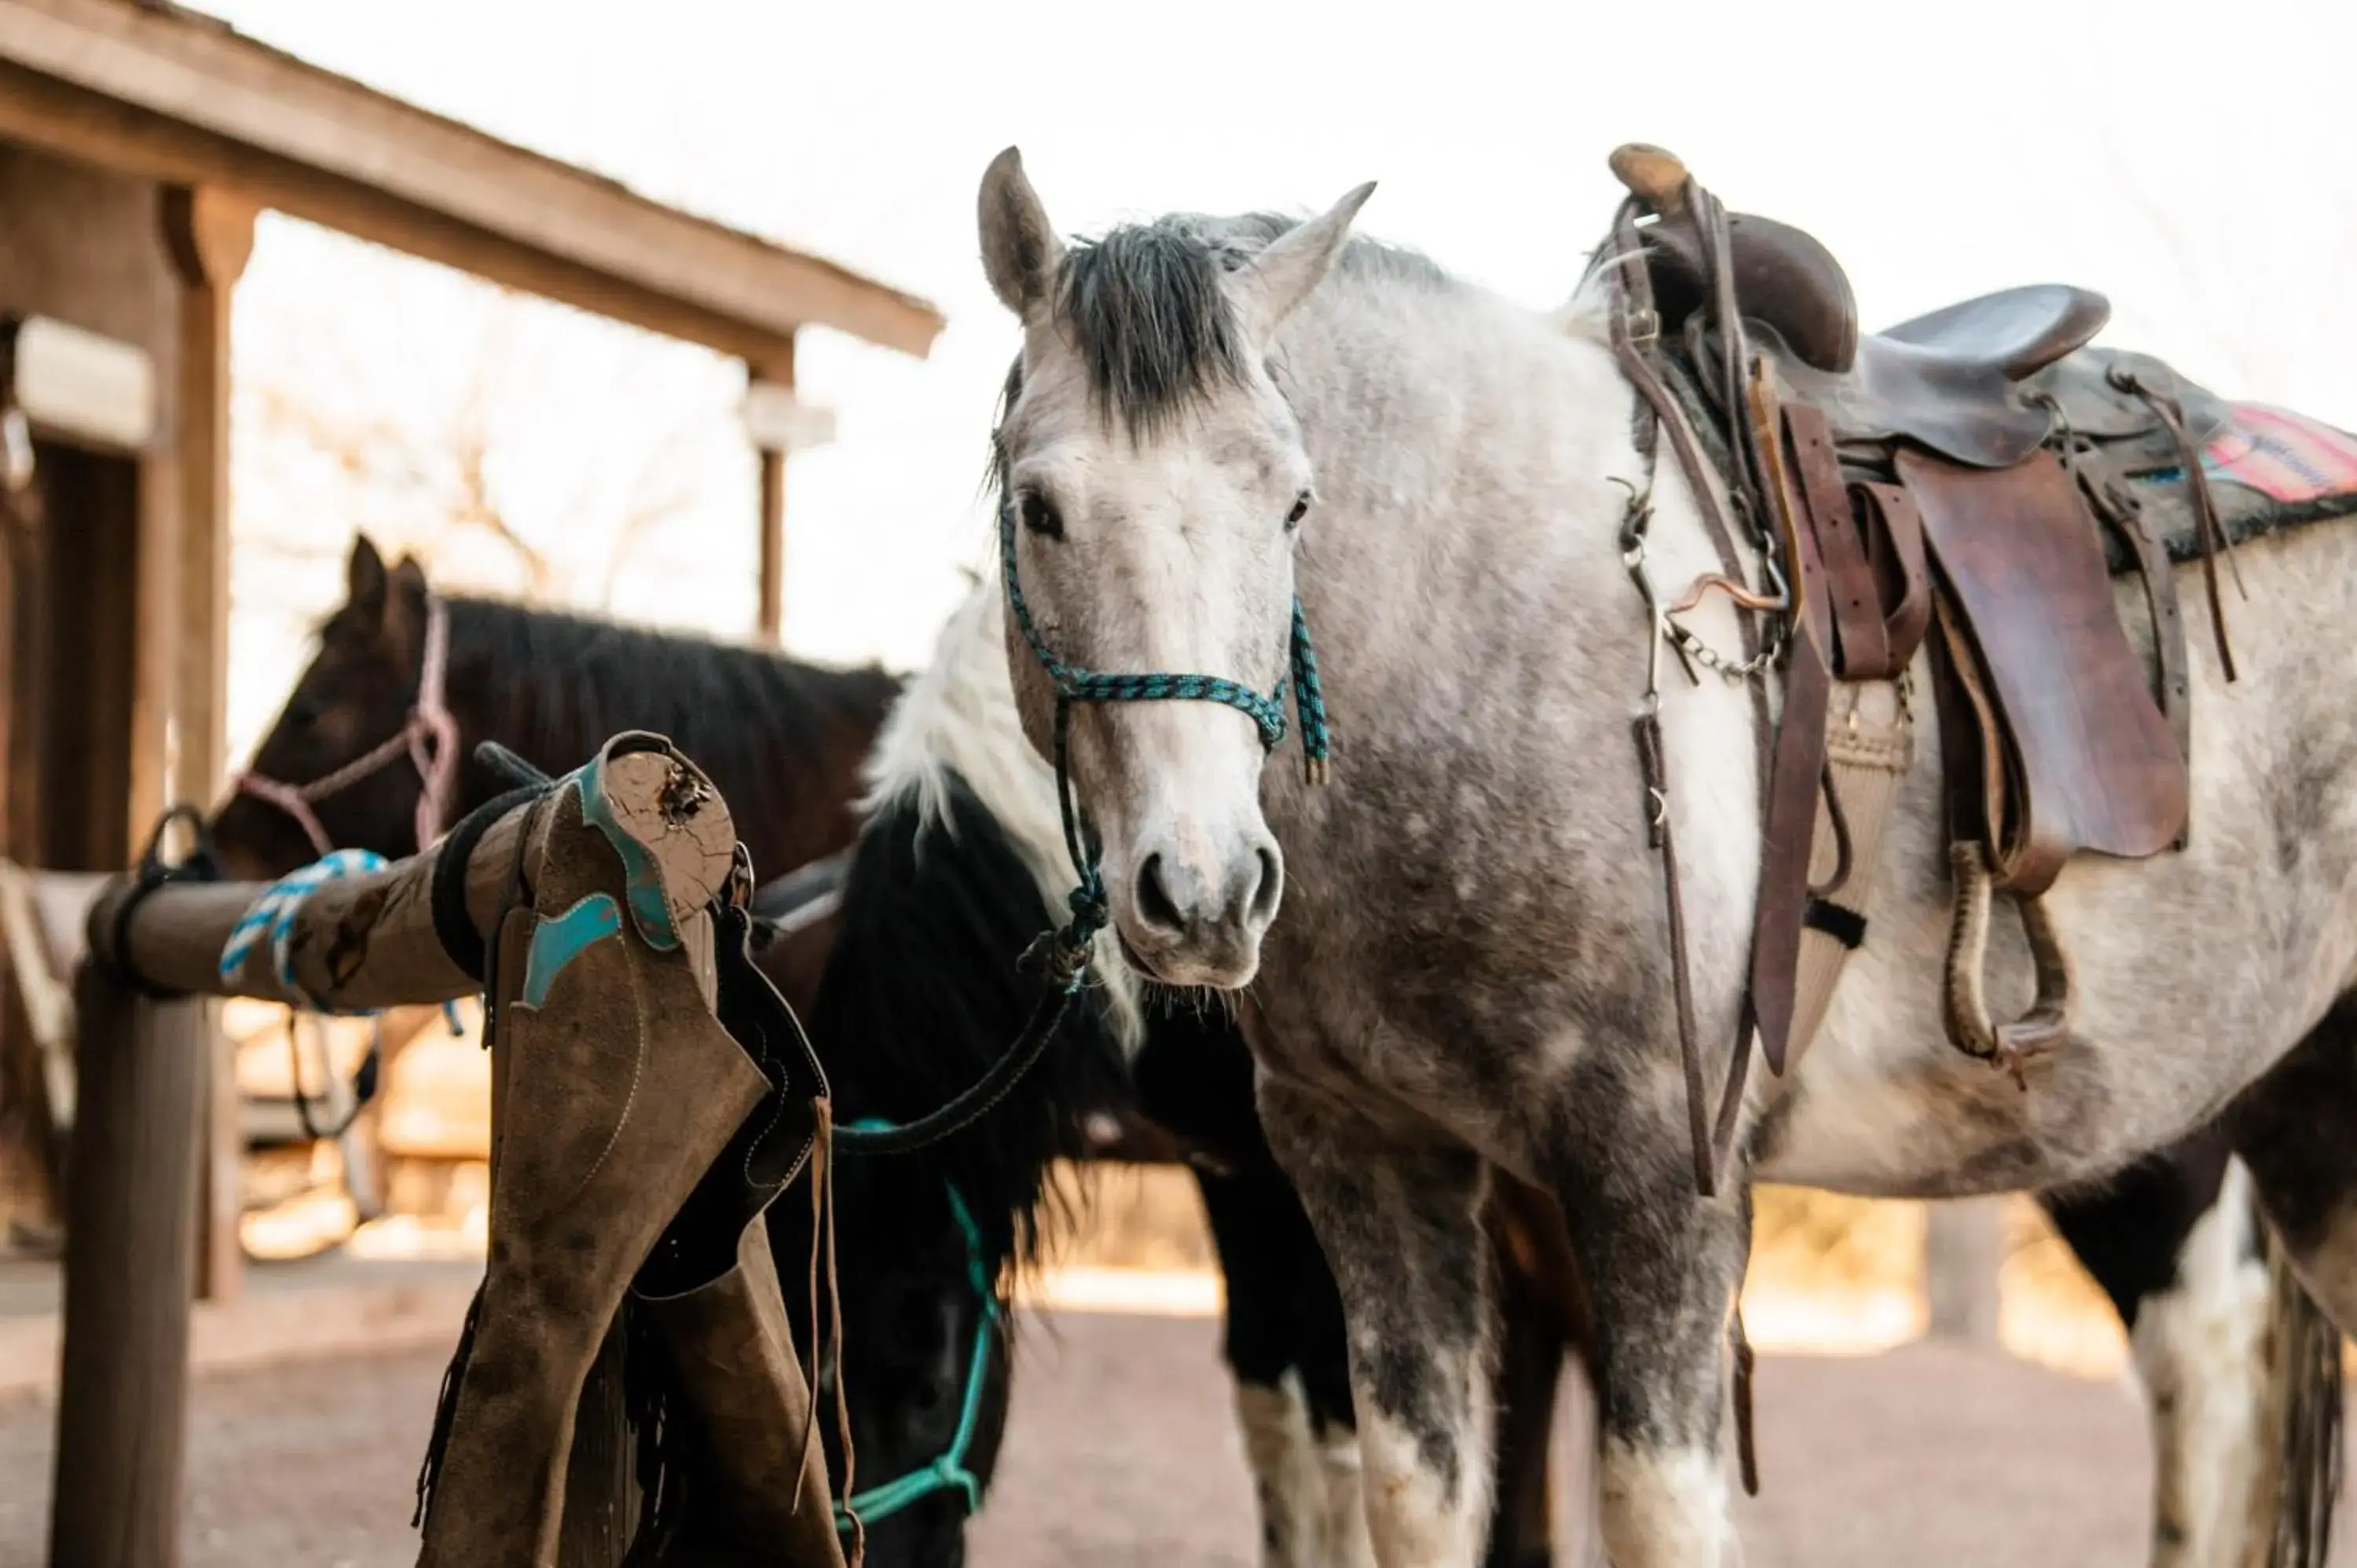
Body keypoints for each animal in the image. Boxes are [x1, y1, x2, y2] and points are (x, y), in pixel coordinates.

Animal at [966, 149, 2348, 1565]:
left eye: (1294, 500)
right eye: (1039, 506)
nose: (1204, 891)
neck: (1481, 632)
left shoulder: (1658, 1184)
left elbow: (1656, 1509)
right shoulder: (1365, 1160)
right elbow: (1418, 1494)